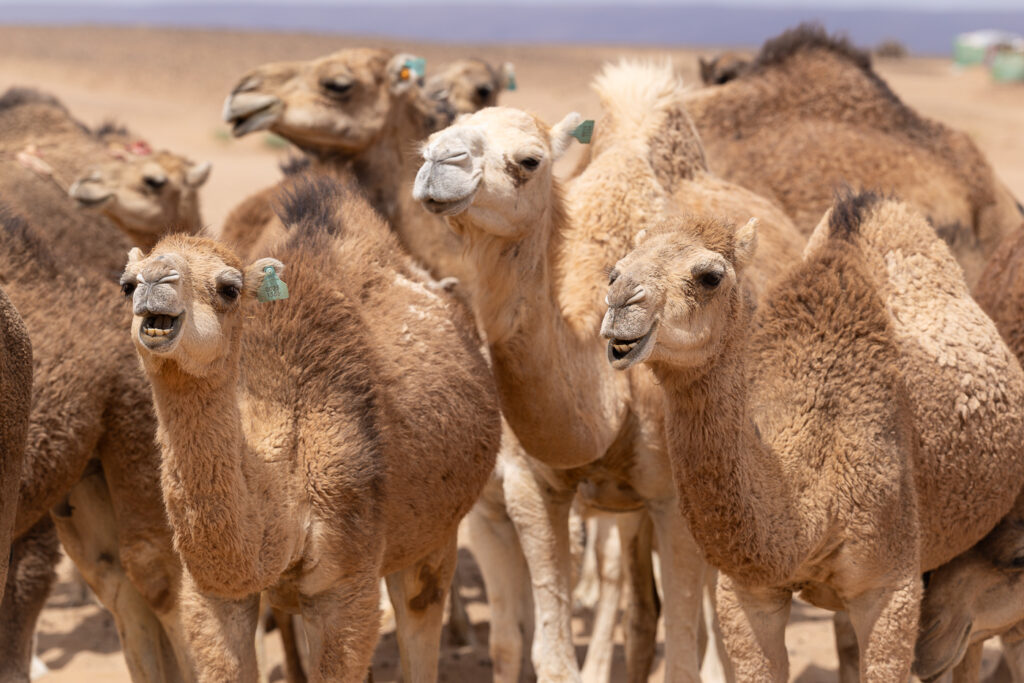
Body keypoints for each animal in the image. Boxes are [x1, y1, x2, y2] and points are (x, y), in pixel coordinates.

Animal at [120, 175, 500, 681]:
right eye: (126, 285)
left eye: (229, 288)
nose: (154, 281)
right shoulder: (213, 595)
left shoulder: (346, 583)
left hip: (434, 534)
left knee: (421, 610)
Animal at [413, 60, 804, 681]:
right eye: (431, 136)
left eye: (530, 160)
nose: (438, 162)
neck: (609, 397)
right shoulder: (532, 489)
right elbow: (549, 654)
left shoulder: (676, 502)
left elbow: (684, 654)